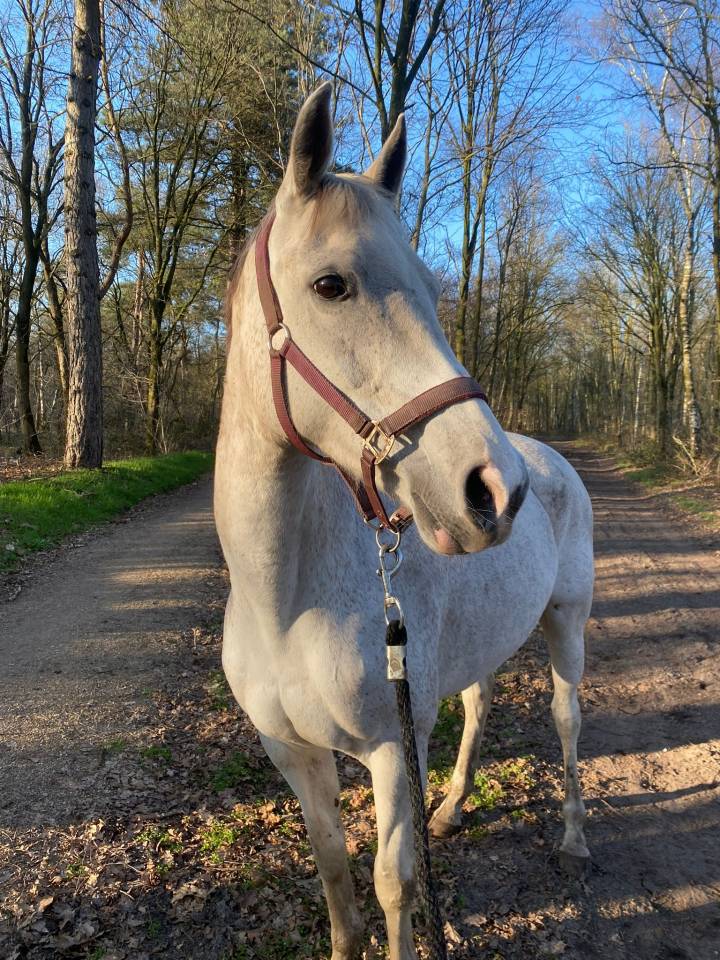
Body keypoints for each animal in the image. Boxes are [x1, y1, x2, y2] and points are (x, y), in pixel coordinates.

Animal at [214, 83, 593, 960]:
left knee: (565, 720)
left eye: (428, 282)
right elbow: (334, 873)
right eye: (331, 285)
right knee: (481, 706)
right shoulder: (295, 756)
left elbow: (394, 885)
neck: (285, 599)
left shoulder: (394, 746)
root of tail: (547, 460)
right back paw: (452, 808)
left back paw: (572, 836)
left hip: (567, 621)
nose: (494, 489)